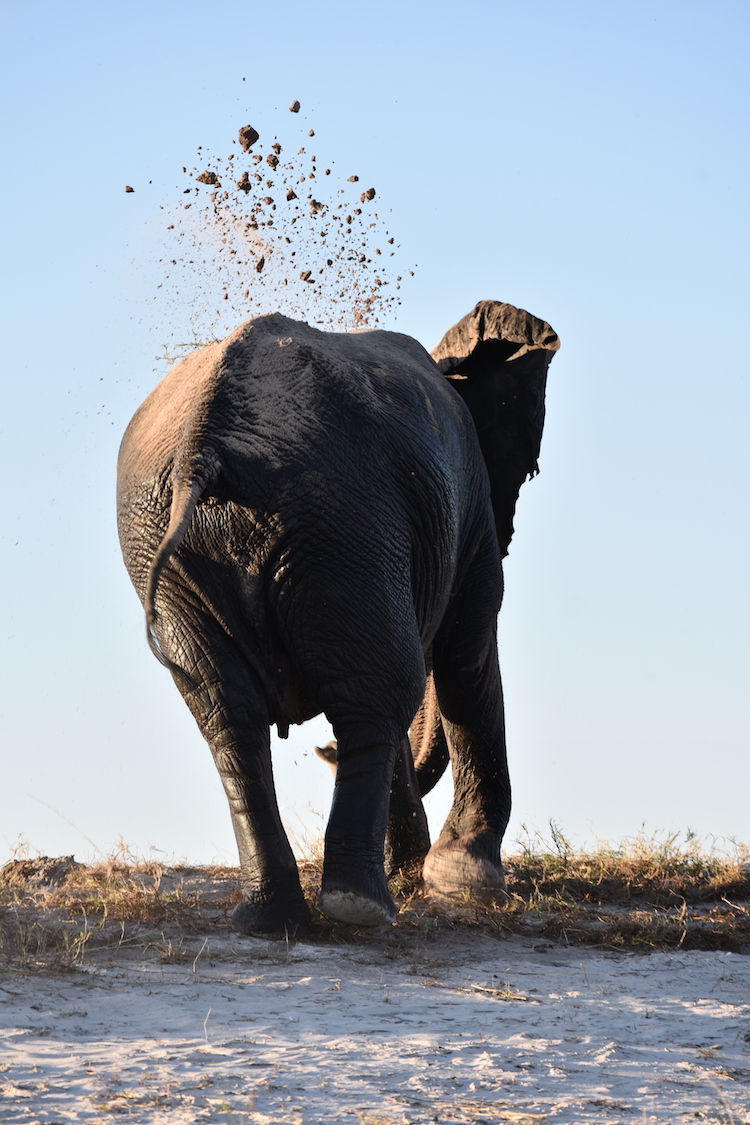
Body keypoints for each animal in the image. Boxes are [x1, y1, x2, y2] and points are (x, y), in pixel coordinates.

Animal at [117, 297, 559, 931]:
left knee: (231, 713)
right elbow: (466, 651)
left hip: (185, 545)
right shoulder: (469, 503)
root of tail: (204, 442)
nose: (322, 754)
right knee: (382, 689)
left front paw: (427, 876)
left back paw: (274, 917)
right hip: (341, 523)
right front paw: (465, 883)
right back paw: (361, 910)